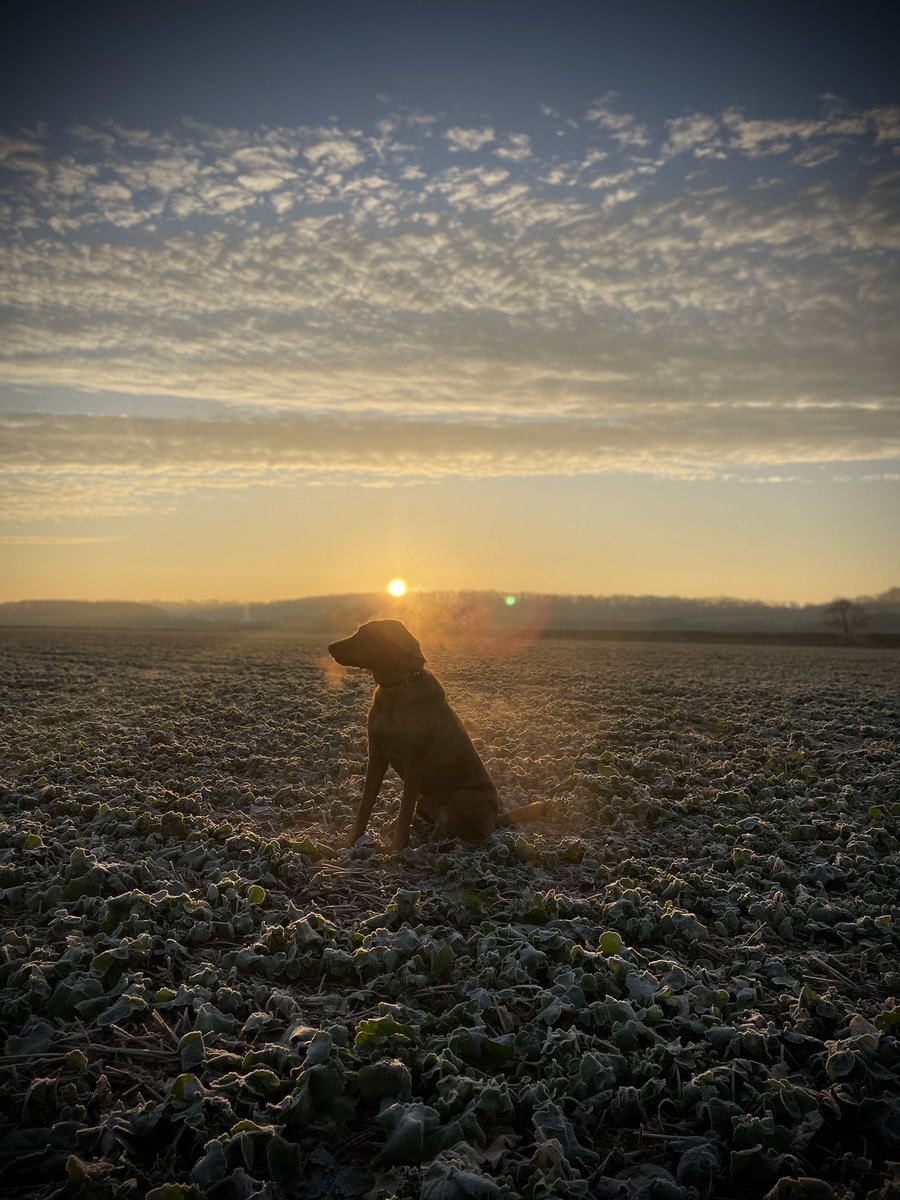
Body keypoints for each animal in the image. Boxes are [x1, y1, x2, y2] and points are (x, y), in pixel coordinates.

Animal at [328, 619, 547, 854]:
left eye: (365, 635)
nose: (330, 647)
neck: (398, 685)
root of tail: (495, 818)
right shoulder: (377, 753)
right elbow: (365, 804)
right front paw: (348, 842)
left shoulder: (413, 764)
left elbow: (403, 814)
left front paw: (393, 850)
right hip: (424, 802)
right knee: (444, 826)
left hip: (463, 797)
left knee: (474, 835)